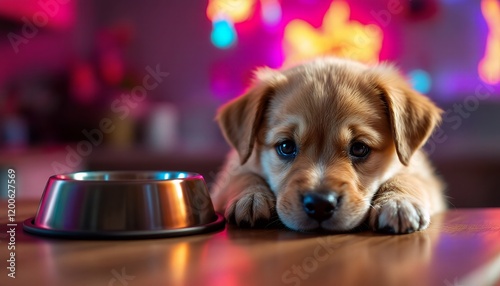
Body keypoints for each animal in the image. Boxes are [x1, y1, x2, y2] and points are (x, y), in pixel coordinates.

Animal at [210, 57, 446, 233]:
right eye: (286, 147)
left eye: (359, 148)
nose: (320, 204)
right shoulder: (229, 175)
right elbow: (242, 177)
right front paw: (251, 197)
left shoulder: (425, 177)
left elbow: (409, 178)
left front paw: (398, 202)